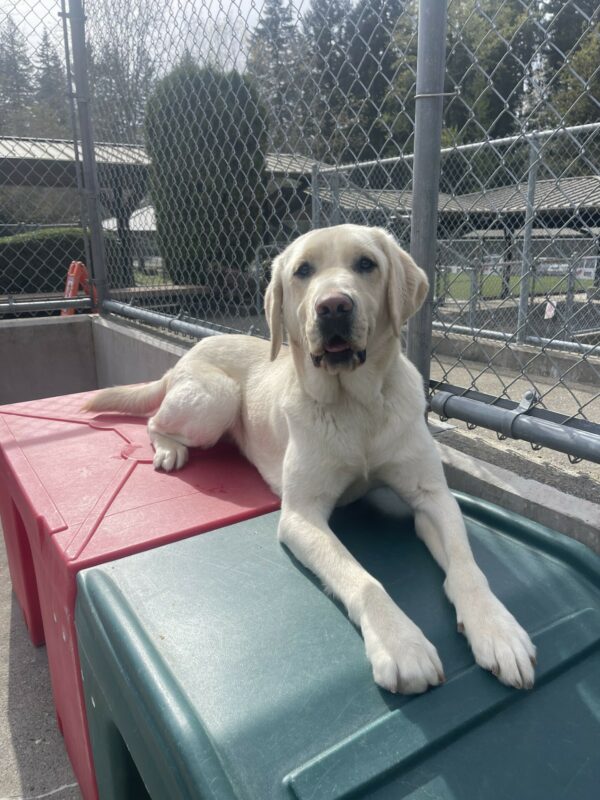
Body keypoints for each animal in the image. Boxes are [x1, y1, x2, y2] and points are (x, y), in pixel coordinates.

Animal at [84, 225, 536, 692]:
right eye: (303, 270)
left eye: (366, 264)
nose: (334, 306)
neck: (356, 406)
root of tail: (187, 356)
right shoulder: (302, 516)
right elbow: (362, 579)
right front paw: (400, 643)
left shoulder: (433, 498)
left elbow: (467, 567)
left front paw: (496, 629)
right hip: (216, 398)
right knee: (155, 420)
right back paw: (170, 448)